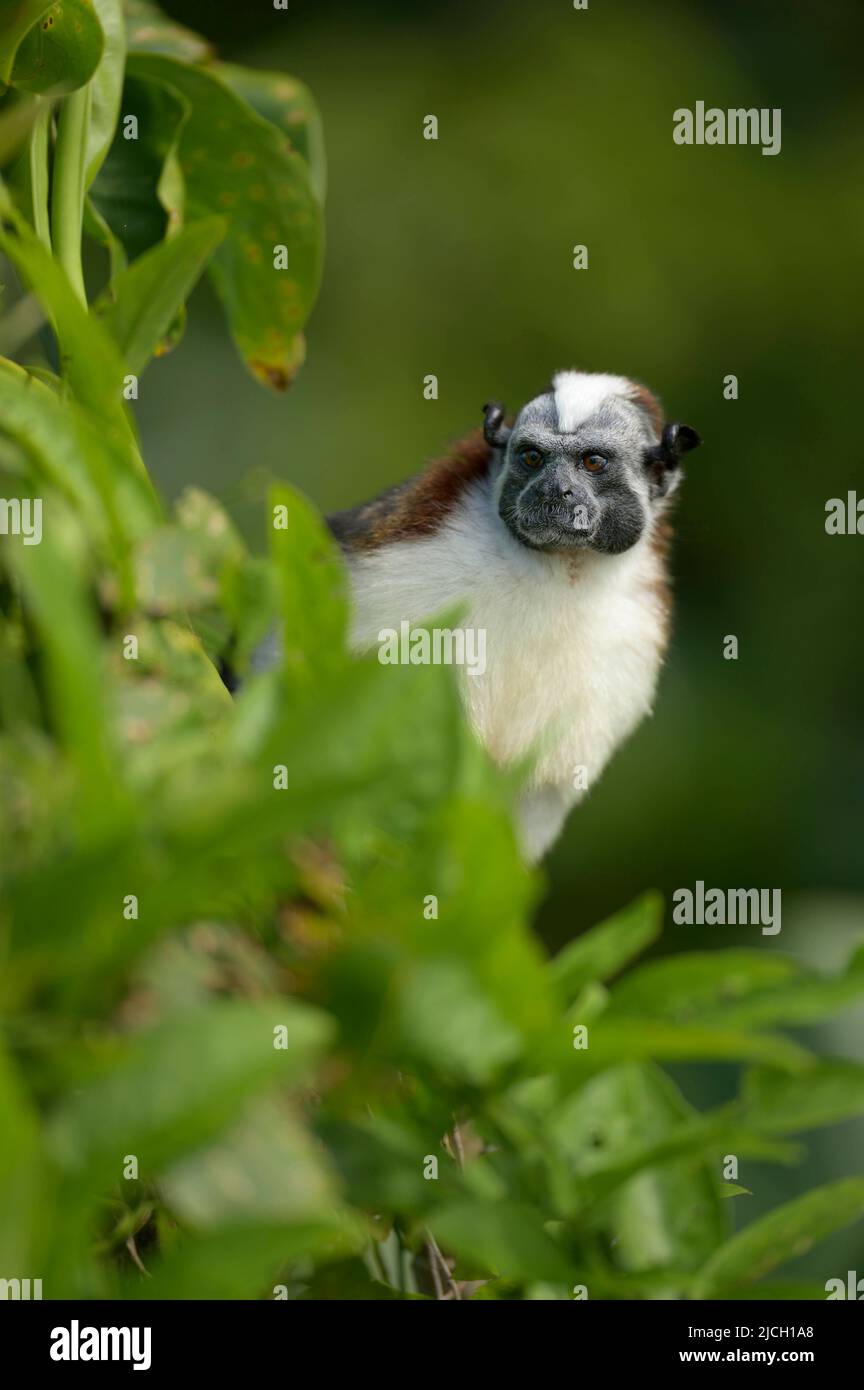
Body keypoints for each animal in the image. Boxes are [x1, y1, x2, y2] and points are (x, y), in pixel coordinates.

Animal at [257, 370, 701, 861]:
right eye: (532, 457)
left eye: (592, 462)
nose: (553, 491)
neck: (559, 567)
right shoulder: (401, 559)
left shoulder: (634, 629)